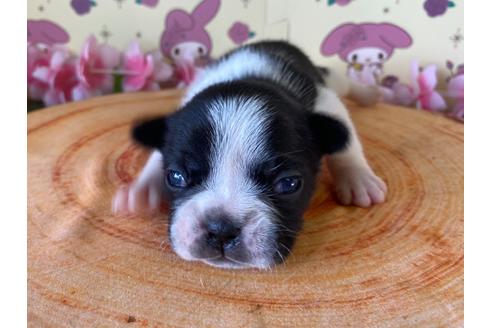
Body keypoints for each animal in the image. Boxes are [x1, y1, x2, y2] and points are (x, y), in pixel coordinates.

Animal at [113, 40, 386, 270]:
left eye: (289, 184)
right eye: (175, 177)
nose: (221, 228)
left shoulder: (327, 104)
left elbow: (347, 141)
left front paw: (357, 177)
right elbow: (157, 153)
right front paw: (141, 190)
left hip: (332, 83)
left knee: (345, 83)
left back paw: (369, 94)